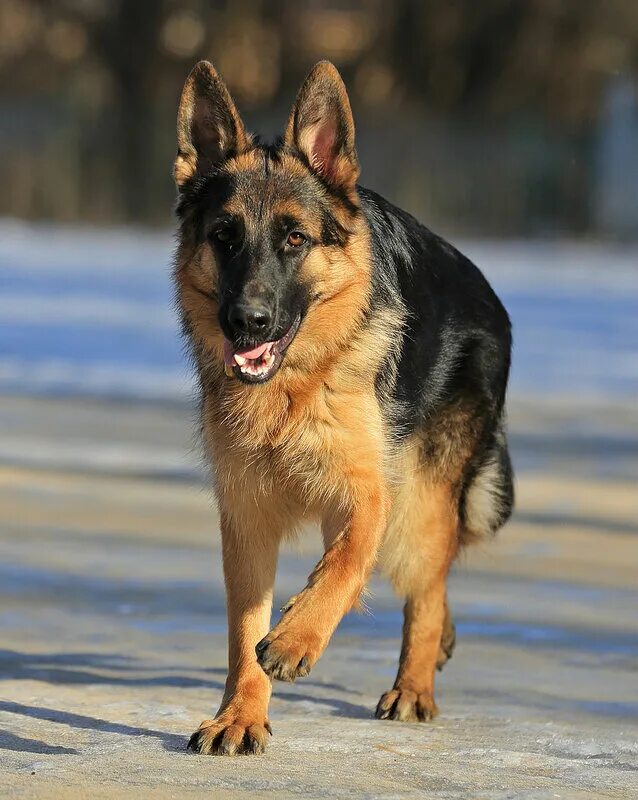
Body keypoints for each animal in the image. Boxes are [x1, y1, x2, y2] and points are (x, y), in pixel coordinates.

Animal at [175, 59, 516, 752]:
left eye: (294, 239)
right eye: (224, 237)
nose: (247, 322)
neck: (295, 389)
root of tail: (489, 296)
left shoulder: (369, 491)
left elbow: (349, 561)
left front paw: (296, 639)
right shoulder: (246, 517)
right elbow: (243, 632)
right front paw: (241, 715)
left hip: (420, 502)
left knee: (428, 584)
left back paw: (414, 686)